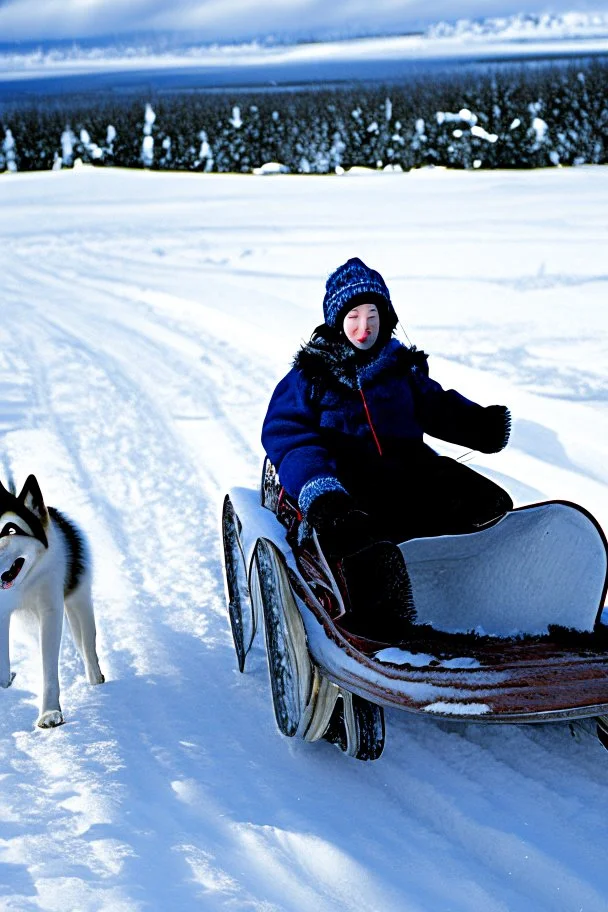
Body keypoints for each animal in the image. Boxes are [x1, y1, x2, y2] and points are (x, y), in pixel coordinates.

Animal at [0, 478, 104, 728]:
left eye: (10, 529)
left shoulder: (50, 610)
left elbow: (48, 667)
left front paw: (50, 714)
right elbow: (3, 668)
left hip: (79, 602)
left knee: (88, 648)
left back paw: (97, 681)